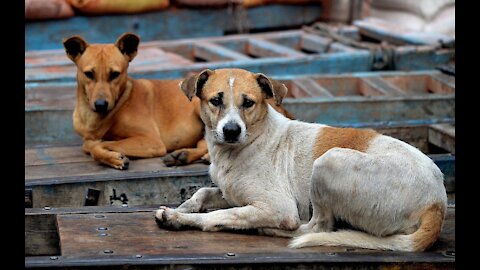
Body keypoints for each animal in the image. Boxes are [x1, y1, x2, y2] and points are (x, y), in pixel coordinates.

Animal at [62, 33, 292, 169]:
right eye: (89, 74)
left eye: (115, 74)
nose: (101, 105)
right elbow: (90, 143)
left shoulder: (151, 141)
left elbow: (94, 145)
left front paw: (113, 156)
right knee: (203, 142)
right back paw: (183, 155)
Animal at [156, 67, 448, 251]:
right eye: (216, 100)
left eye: (248, 103)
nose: (231, 131)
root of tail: (437, 203)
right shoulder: (231, 192)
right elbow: (203, 193)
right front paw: (185, 207)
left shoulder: (278, 207)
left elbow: (220, 215)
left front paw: (178, 218)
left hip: (329, 162)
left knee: (317, 227)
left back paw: (269, 230)